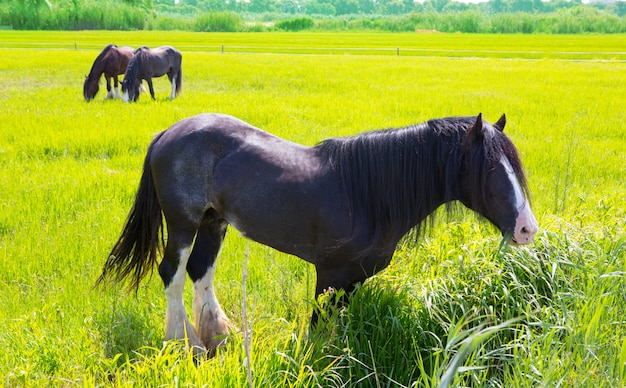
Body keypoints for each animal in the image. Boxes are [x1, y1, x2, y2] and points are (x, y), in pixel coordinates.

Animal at [97, 111, 536, 354]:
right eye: (491, 170)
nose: (527, 229)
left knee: (200, 271)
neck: (366, 194)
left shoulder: (352, 280)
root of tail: (167, 133)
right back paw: (182, 343)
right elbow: (318, 332)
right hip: (184, 222)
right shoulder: (329, 275)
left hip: (212, 221)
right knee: (171, 273)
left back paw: (218, 338)